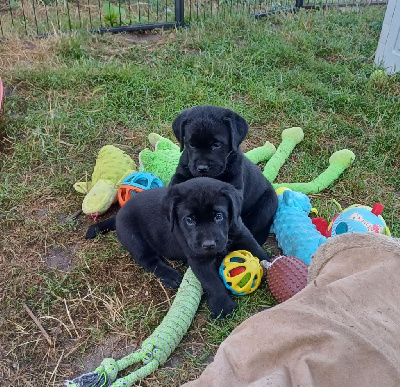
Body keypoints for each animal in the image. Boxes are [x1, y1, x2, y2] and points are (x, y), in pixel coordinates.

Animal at [87, 177, 268, 320]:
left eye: (218, 216)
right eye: (189, 220)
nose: (209, 245)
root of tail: (118, 214)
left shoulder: (241, 232)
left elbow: (256, 249)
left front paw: (270, 264)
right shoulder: (198, 259)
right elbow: (212, 282)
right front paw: (223, 306)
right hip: (134, 238)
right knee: (148, 260)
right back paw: (170, 275)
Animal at [170, 105, 278, 246]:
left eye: (216, 145)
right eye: (191, 144)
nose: (202, 168)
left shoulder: (235, 186)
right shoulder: (181, 173)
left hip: (265, 208)